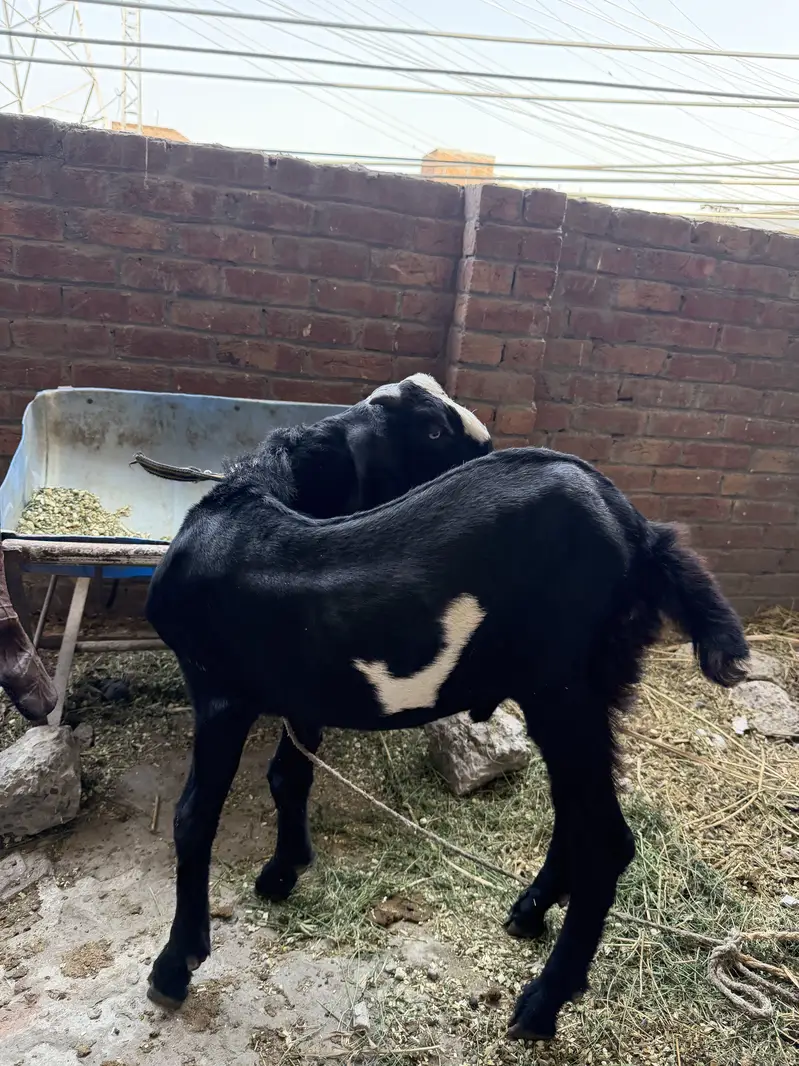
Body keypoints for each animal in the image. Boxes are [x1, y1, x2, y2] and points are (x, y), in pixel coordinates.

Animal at [145, 418, 748, 1041]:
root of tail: (641, 534)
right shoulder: (302, 696)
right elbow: (288, 777)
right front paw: (281, 873)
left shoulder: (218, 692)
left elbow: (194, 818)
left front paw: (174, 966)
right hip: (582, 693)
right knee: (574, 810)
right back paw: (530, 911)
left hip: (564, 689)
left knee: (606, 840)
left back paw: (541, 1005)